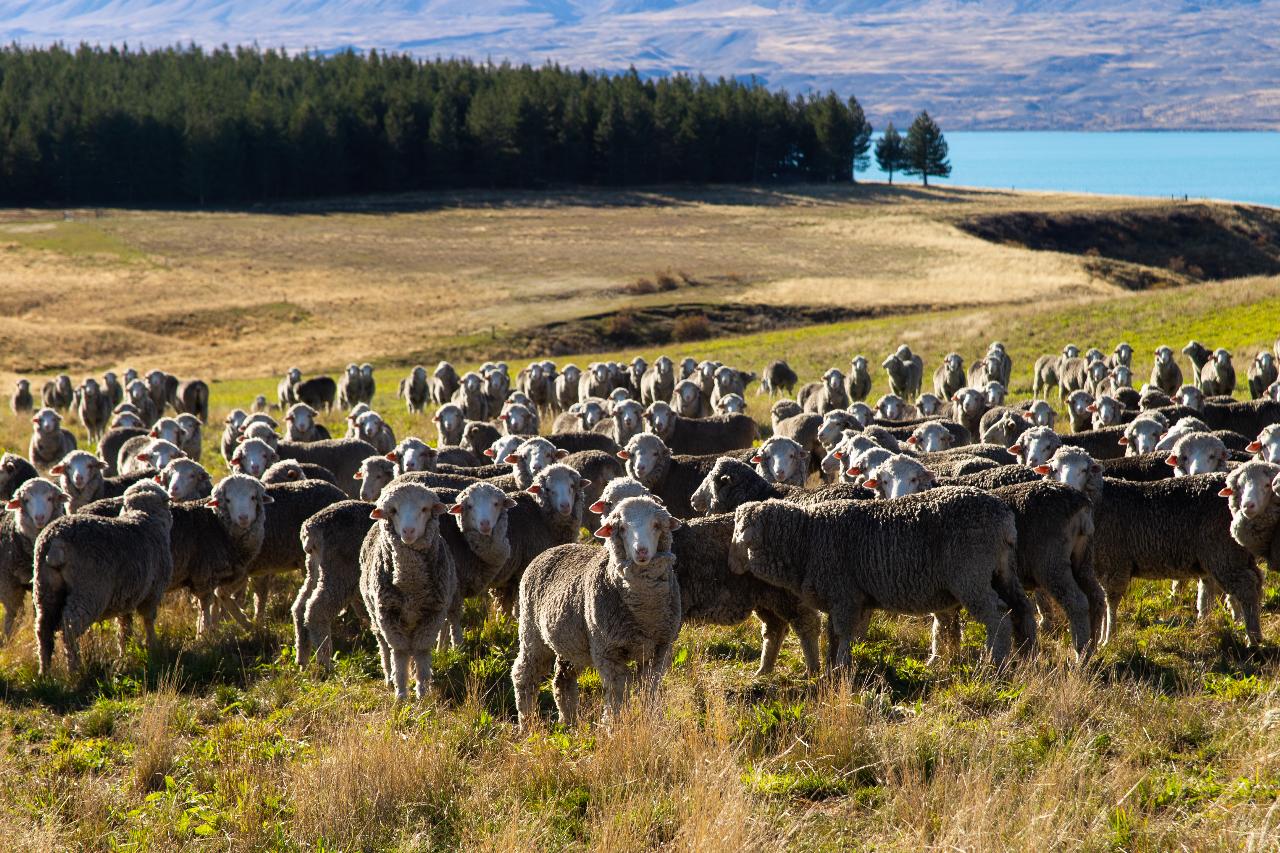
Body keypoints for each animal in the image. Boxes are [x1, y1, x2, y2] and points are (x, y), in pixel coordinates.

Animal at [1, 479, 67, 637]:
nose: (39, 517)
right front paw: (8, 638)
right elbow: (13, 616)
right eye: (26, 500)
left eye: (49, 498)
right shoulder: (8, 585)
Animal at [32, 479, 174, 671]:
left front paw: (125, 652)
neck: (143, 516)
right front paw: (153, 648)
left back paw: (44, 671)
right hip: (90, 591)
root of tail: (55, 540)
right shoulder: (153, 592)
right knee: (69, 628)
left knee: (43, 630)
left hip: (45, 588)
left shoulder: (126, 596)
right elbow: (148, 620)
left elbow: (124, 626)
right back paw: (74, 668)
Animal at [358, 481, 458, 701]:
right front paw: (402, 693)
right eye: (393, 510)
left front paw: (421, 691)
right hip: (375, 615)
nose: (409, 531)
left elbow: (421, 651)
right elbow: (400, 652)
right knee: (385, 648)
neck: (411, 585)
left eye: (424, 509)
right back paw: (389, 677)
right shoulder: (388, 614)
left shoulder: (433, 614)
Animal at [514, 494, 686, 727]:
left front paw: (652, 720)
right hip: (531, 632)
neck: (644, 614)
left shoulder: (660, 649)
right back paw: (527, 722)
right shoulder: (607, 651)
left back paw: (568, 721)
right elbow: (617, 692)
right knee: (525, 674)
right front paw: (613, 725)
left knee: (562, 678)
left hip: (573, 644)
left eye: (657, 525)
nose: (641, 551)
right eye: (622, 528)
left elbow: (649, 688)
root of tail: (554, 548)